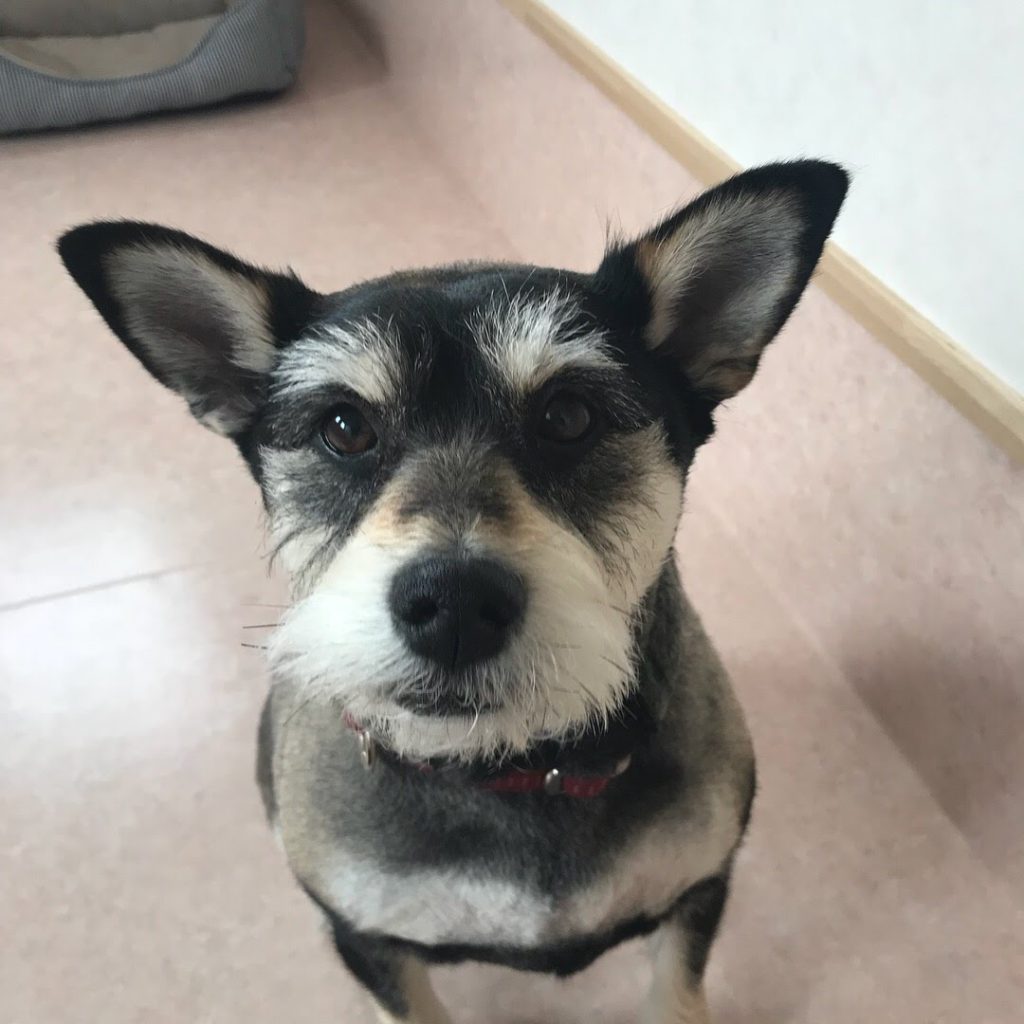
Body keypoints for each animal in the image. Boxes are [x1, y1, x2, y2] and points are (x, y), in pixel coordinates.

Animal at [58, 160, 847, 1023]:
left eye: (568, 416)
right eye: (343, 428)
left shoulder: (699, 894)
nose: (455, 606)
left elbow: (676, 993)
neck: (514, 767)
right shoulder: (369, 943)